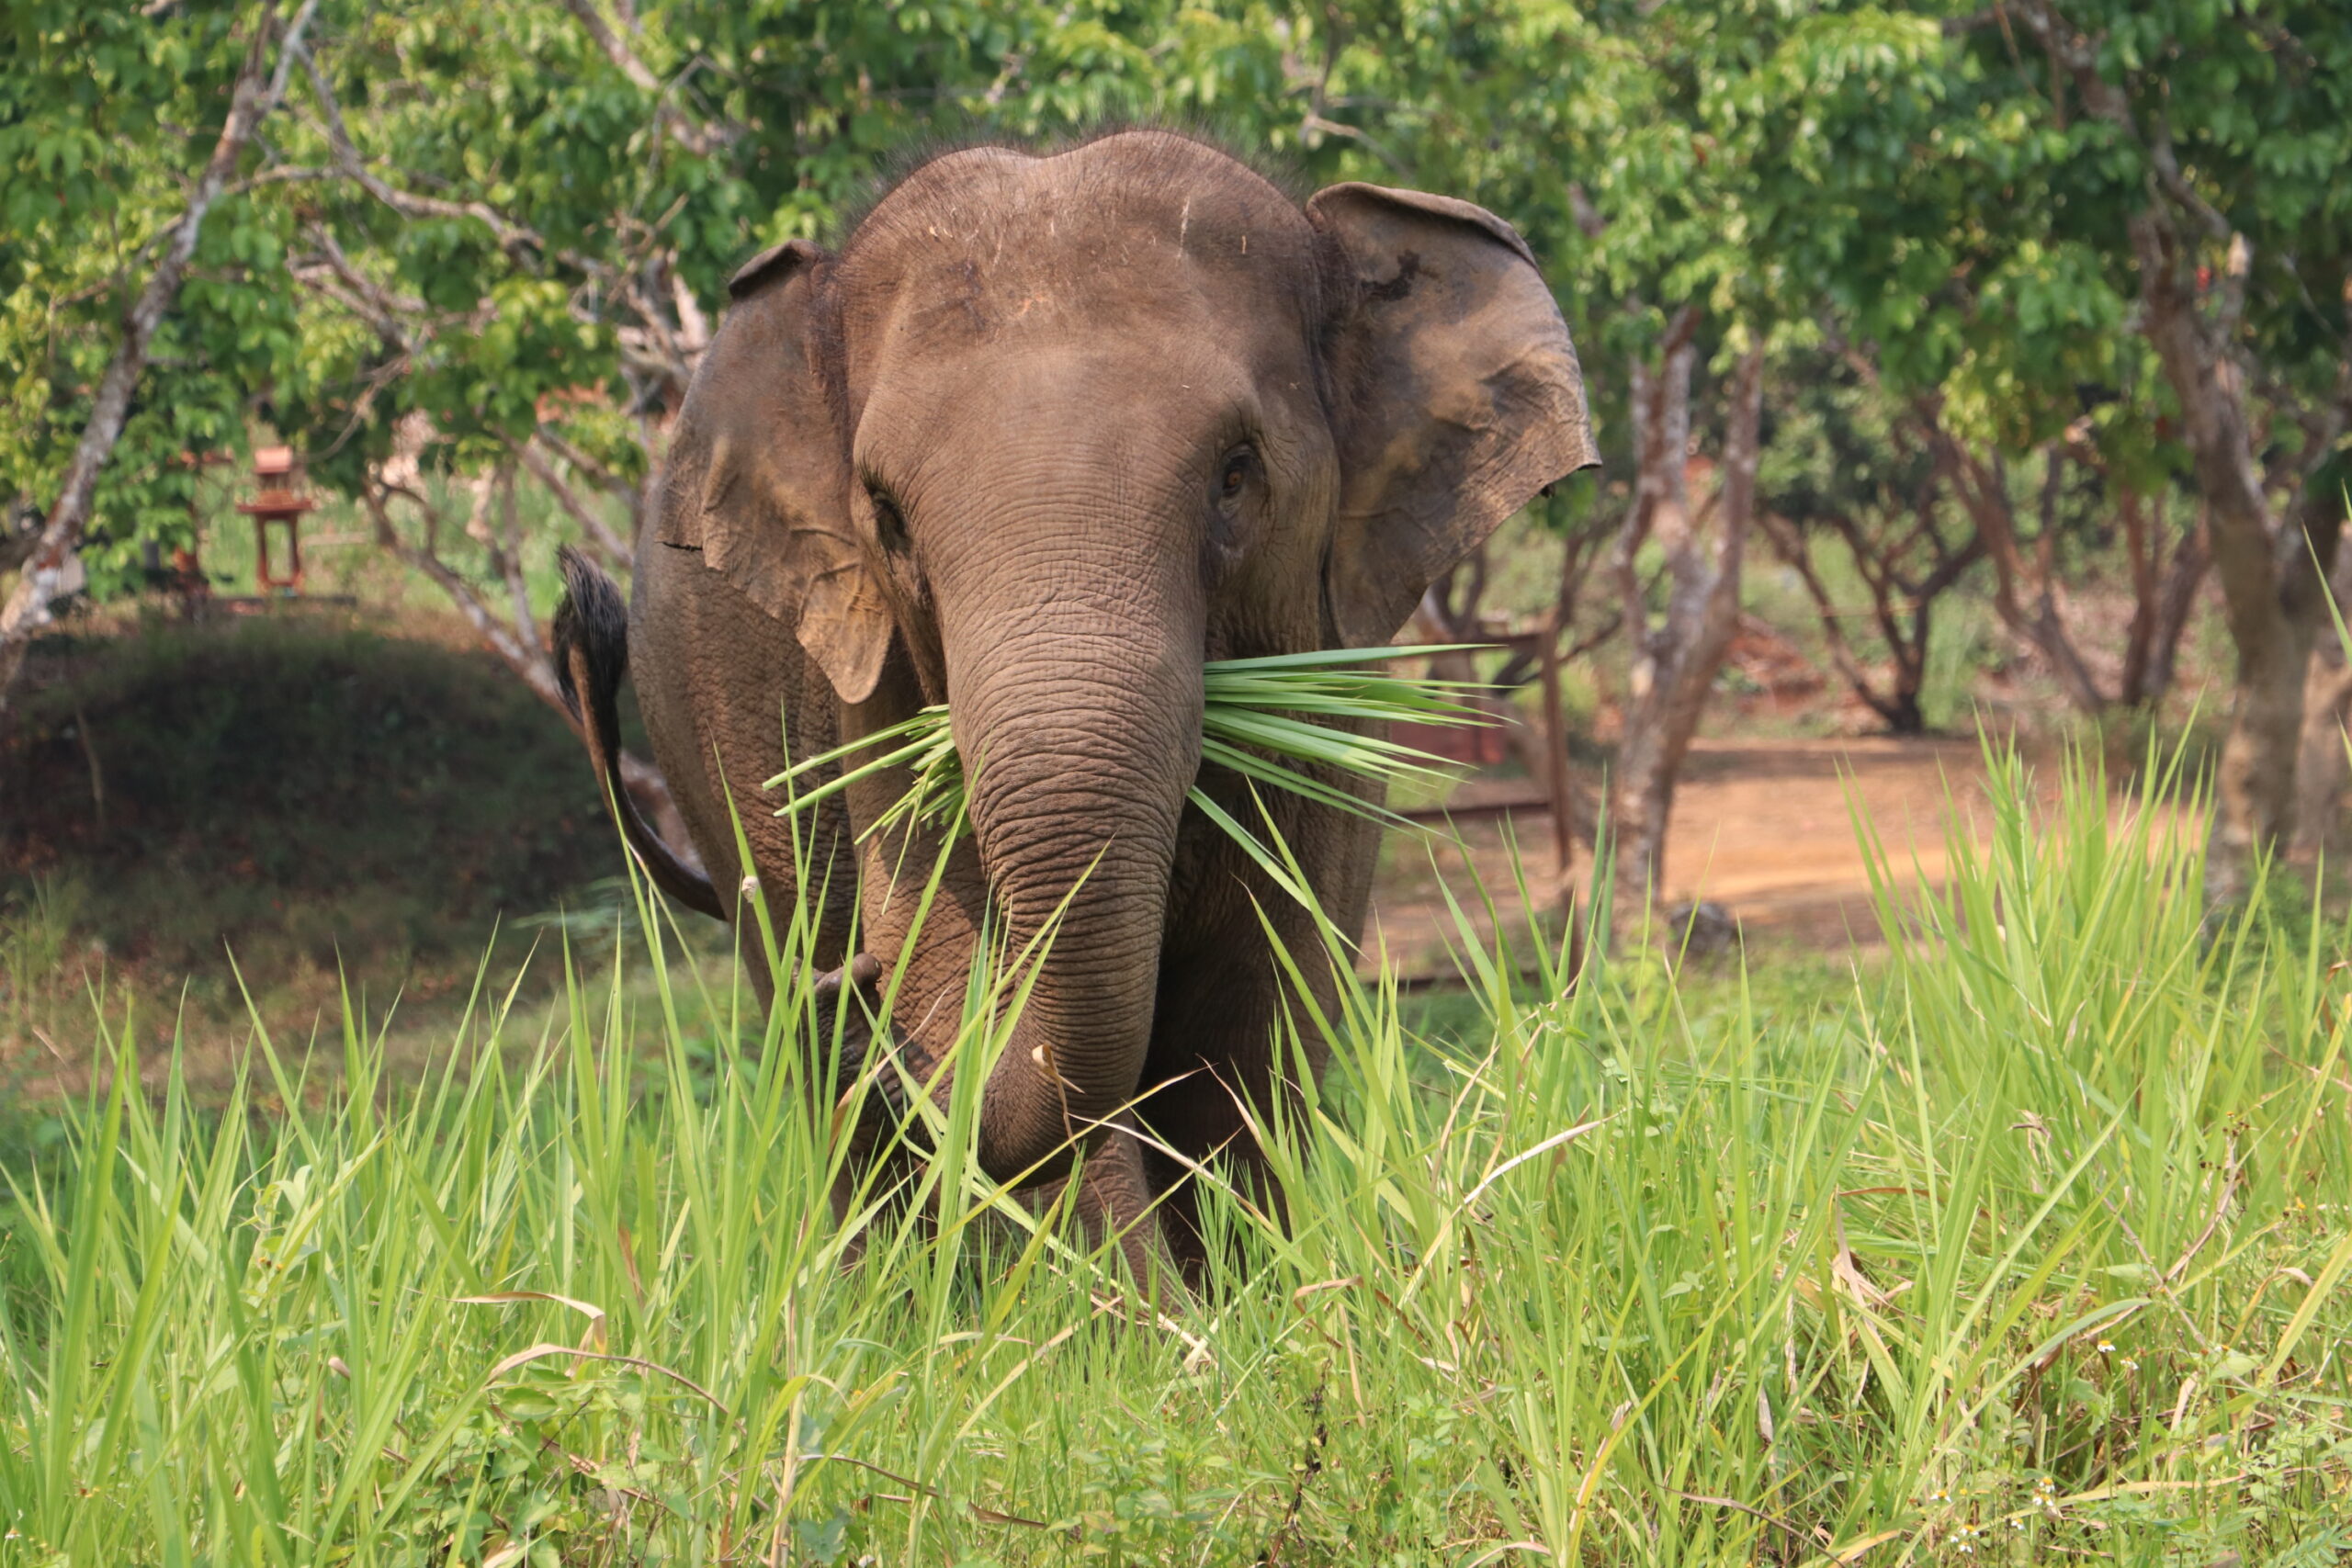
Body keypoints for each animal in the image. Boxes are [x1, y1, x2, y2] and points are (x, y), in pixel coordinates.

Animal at [552, 129, 1595, 1289]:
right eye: (887, 517)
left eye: (1236, 474)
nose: (853, 978)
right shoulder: (879, 702)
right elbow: (978, 988)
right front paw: (1143, 1321)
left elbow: (1257, 1009)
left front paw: (1252, 1306)